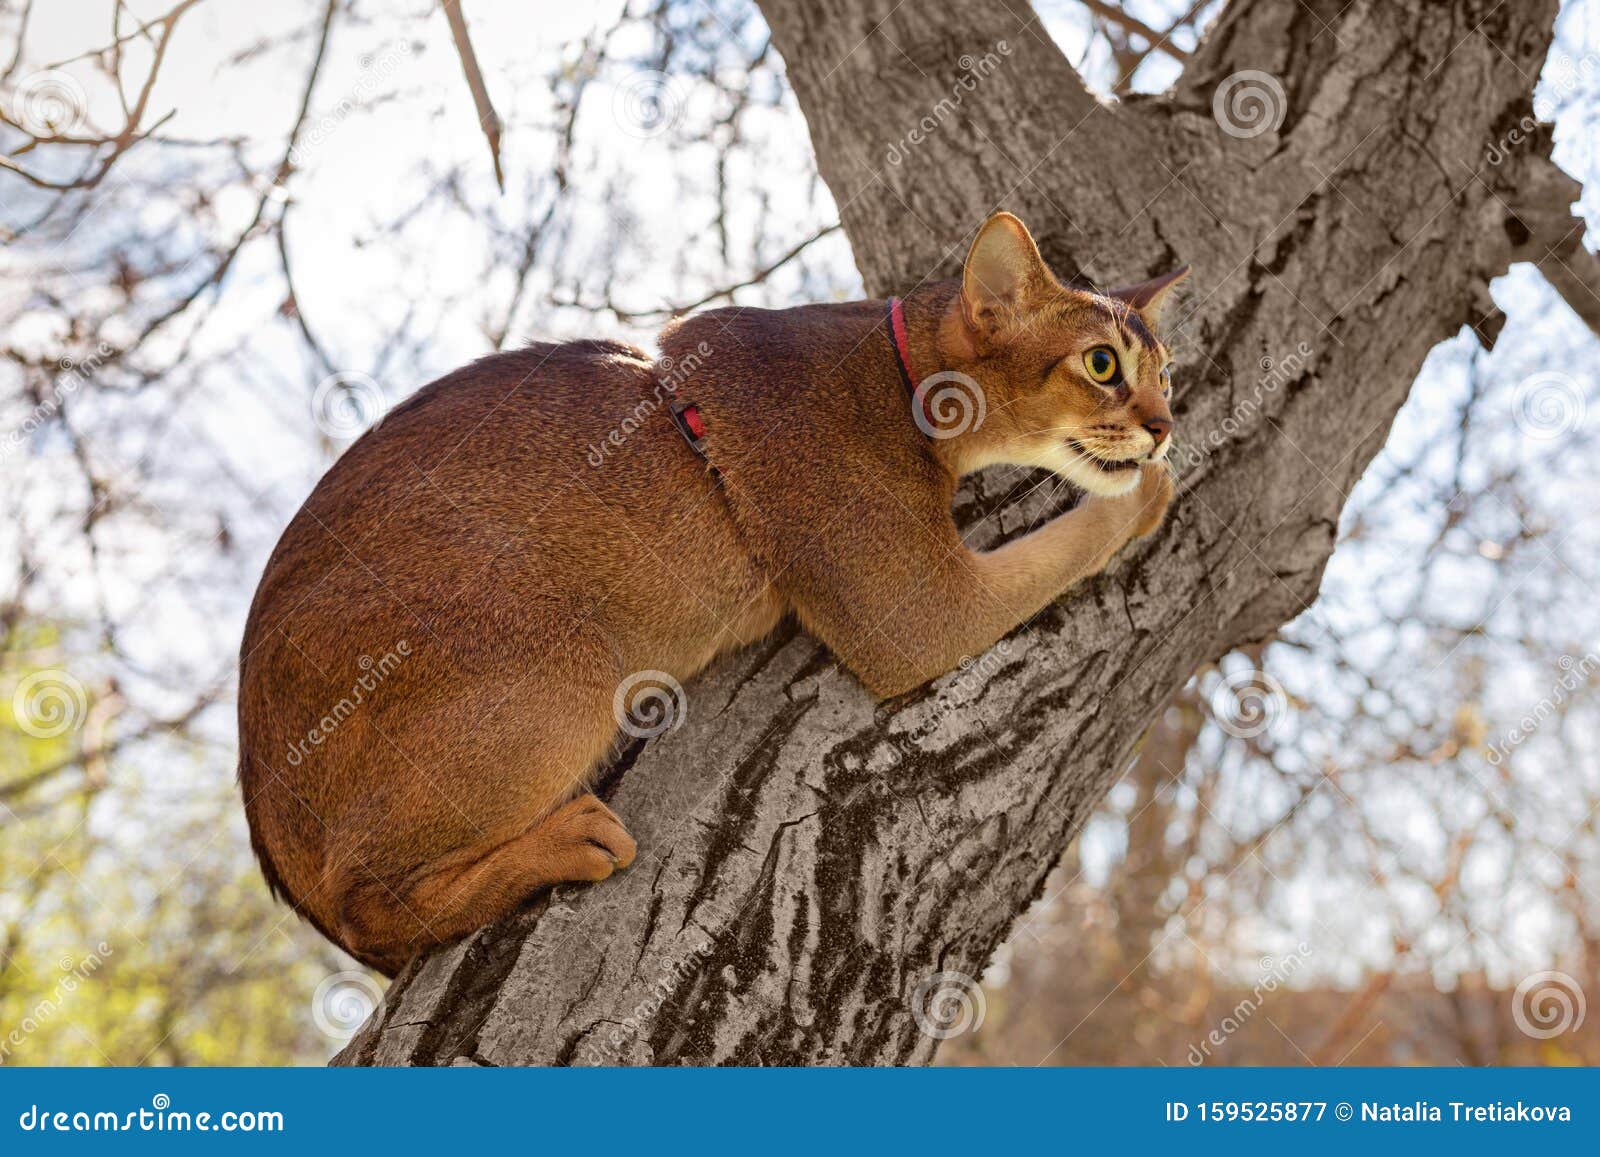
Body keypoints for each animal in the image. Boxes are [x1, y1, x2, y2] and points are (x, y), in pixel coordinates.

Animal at [236, 212, 1190, 972]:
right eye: (1101, 364)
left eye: (1165, 371)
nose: (1164, 426)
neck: (903, 372)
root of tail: (265, 814)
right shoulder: (917, 614)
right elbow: (1065, 545)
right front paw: (1146, 495)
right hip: (565, 657)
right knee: (369, 909)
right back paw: (568, 842)